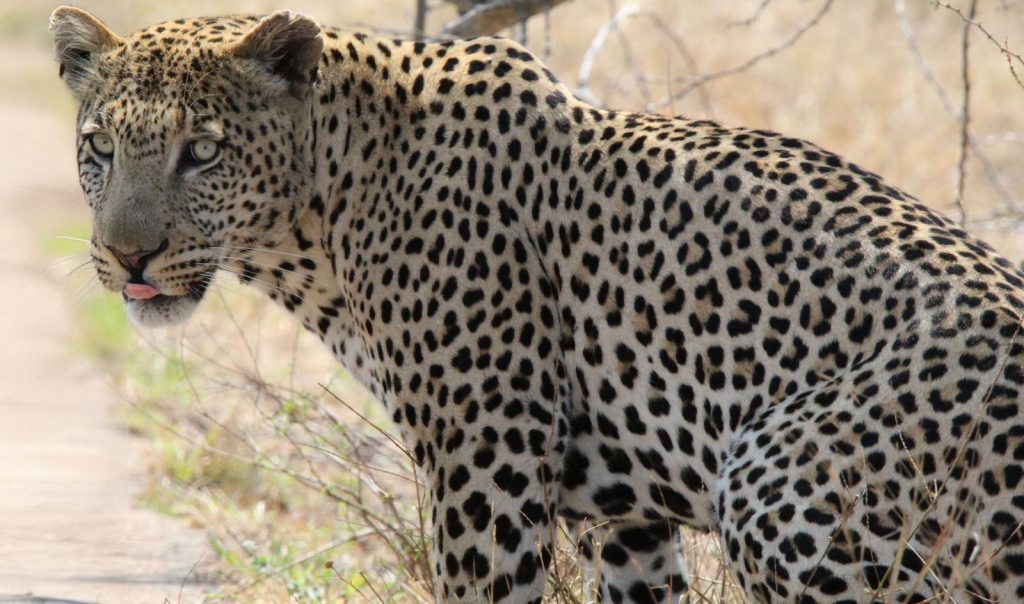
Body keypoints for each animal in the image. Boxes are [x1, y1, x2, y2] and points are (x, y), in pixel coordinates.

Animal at [50, 6, 1024, 603]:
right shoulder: (626, 515)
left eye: (203, 152)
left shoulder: (485, 456)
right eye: (98, 147)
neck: (323, 215)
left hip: (776, 476)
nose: (128, 255)